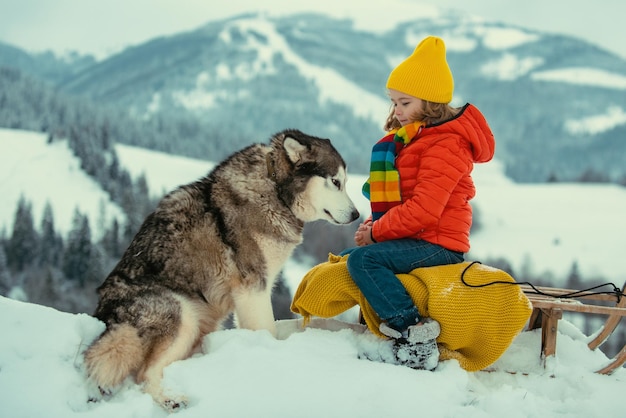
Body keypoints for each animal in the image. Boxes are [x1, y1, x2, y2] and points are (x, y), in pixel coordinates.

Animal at [84, 129, 356, 410]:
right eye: (336, 182)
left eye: (344, 182)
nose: (356, 214)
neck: (275, 189)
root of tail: (105, 316)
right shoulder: (253, 288)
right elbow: (267, 331)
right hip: (182, 313)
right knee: (144, 375)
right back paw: (171, 399)